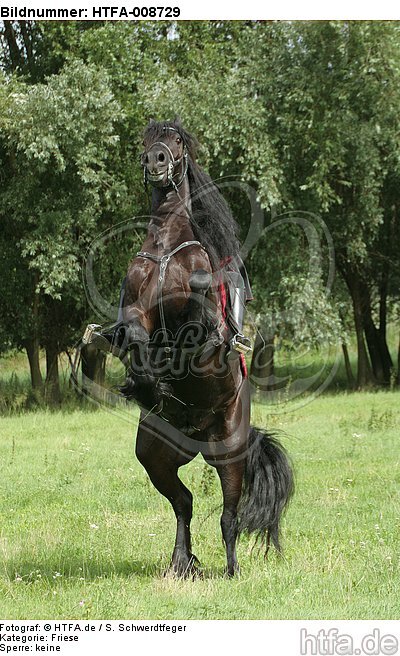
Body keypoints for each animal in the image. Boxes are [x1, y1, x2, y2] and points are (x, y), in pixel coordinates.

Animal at [90, 118, 293, 577]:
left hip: (228, 453)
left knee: (228, 515)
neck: (167, 245)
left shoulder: (203, 323)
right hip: (155, 456)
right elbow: (136, 337)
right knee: (183, 502)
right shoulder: (135, 312)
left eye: (177, 141)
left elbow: (194, 324)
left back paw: (232, 571)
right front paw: (144, 382)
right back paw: (181, 563)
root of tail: (198, 436)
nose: (155, 160)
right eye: (146, 140)